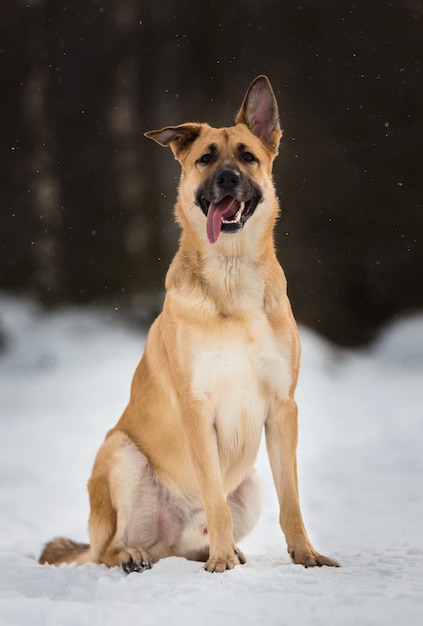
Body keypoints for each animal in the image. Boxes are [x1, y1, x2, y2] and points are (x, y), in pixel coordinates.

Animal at [39, 74, 338, 572]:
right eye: (206, 158)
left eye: (247, 156)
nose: (227, 178)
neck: (232, 279)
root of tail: (166, 541)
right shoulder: (197, 409)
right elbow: (215, 500)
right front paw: (221, 565)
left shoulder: (282, 409)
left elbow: (291, 500)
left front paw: (306, 555)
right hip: (119, 452)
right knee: (107, 550)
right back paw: (138, 555)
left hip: (251, 484)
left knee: (189, 541)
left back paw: (216, 551)